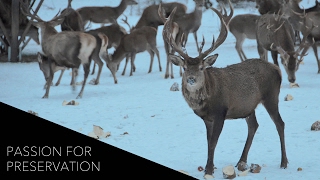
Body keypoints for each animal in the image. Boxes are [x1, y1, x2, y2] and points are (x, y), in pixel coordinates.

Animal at [161, 3, 288, 176]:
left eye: (201, 68)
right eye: (185, 68)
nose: (191, 79)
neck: (206, 102)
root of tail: (277, 69)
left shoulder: (221, 112)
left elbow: (214, 141)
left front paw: (208, 170)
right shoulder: (207, 119)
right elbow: (208, 141)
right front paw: (208, 166)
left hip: (271, 96)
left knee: (280, 123)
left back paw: (284, 162)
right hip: (248, 106)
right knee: (253, 126)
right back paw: (241, 162)